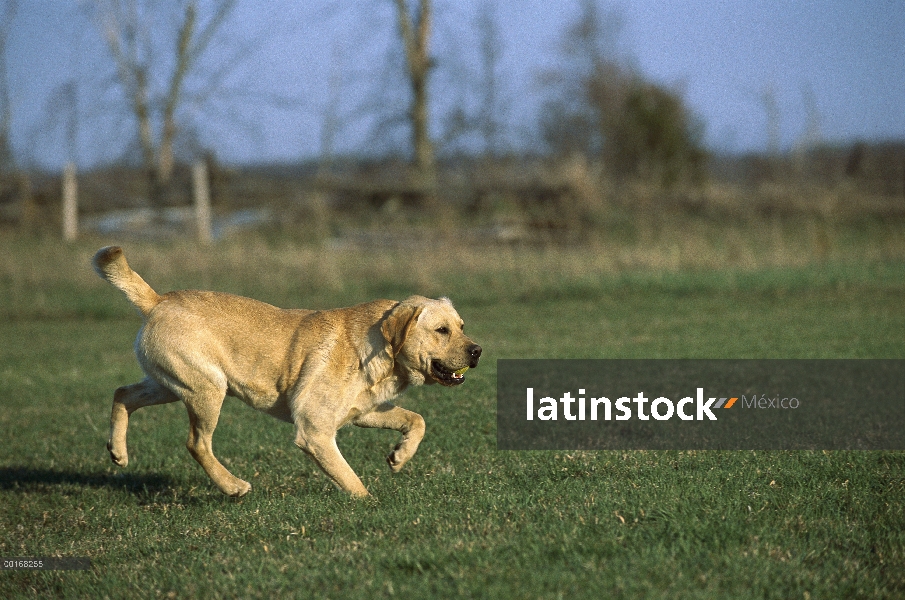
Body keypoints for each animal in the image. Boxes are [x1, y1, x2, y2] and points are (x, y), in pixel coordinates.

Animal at [92, 246, 480, 500]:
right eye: (442, 330)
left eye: (462, 326)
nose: (477, 351)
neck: (380, 351)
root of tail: (158, 300)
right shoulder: (315, 430)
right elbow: (351, 480)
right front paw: (369, 504)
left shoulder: (363, 412)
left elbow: (416, 420)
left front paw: (399, 457)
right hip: (207, 390)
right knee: (196, 443)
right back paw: (234, 486)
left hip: (170, 385)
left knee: (122, 394)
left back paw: (118, 452)